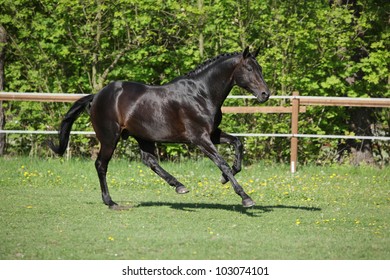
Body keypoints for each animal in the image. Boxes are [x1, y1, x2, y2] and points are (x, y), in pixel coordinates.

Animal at [48, 46, 272, 208]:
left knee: (149, 161)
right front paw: (245, 197)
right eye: (249, 69)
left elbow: (237, 143)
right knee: (101, 165)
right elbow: (221, 162)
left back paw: (180, 186)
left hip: (142, 136)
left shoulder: (212, 134)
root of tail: (97, 96)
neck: (201, 94)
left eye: (260, 68)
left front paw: (225, 178)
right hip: (110, 138)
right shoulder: (199, 138)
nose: (265, 94)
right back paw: (110, 202)